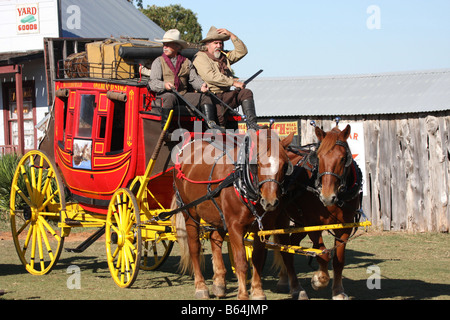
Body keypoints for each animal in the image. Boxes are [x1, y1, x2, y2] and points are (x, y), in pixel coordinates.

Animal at [171, 129, 294, 298]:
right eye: (258, 164)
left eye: (284, 165)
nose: (270, 201)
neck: (241, 181)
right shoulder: (235, 226)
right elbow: (241, 261)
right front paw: (243, 295)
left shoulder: (263, 228)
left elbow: (257, 258)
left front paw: (257, 291)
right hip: (189, 212)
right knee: (194, 247)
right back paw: (201, 286)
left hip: (218, 216)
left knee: (215, 239)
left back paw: (219, 283)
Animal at [278, 124, 366, 298]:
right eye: (318, 158)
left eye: (343, 158)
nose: (327, 196)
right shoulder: (313, 224)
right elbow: (323, 254)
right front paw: (319, 280)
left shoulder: (344, 227)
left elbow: (339, 260)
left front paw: (338, 291)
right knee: (284, 249)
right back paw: (296, 288)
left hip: (299, 223)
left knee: (291, 246)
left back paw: (288, 282)